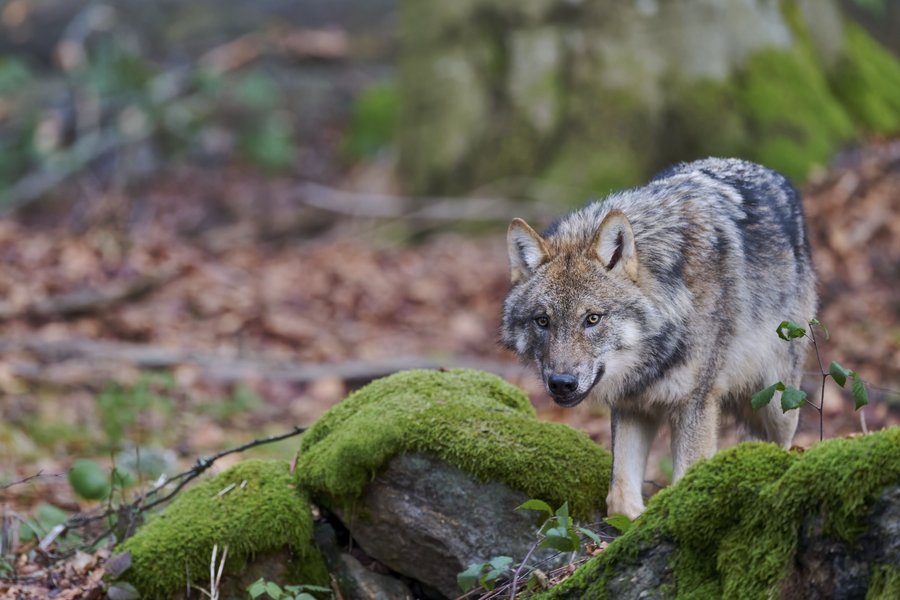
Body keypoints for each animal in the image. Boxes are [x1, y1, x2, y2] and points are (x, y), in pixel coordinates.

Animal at [501, 158, 816, 519]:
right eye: (543, 321)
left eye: (592, 319)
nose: (561, 384)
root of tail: (771, 173)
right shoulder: (632, 405)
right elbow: (619, 496)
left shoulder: (696, 403)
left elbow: (685, 489)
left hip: (778, 403)